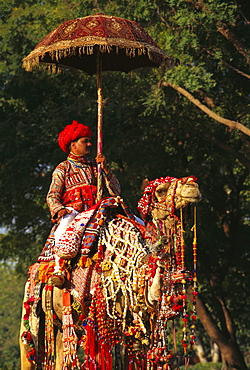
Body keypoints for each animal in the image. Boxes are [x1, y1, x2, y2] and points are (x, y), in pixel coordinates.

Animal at [20, 175, 201, 368]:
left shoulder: (135, 323)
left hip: (60, 325)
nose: (192, 186)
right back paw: (58, 275)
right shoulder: (98, 319)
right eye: (160, 190)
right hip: (32, 313)